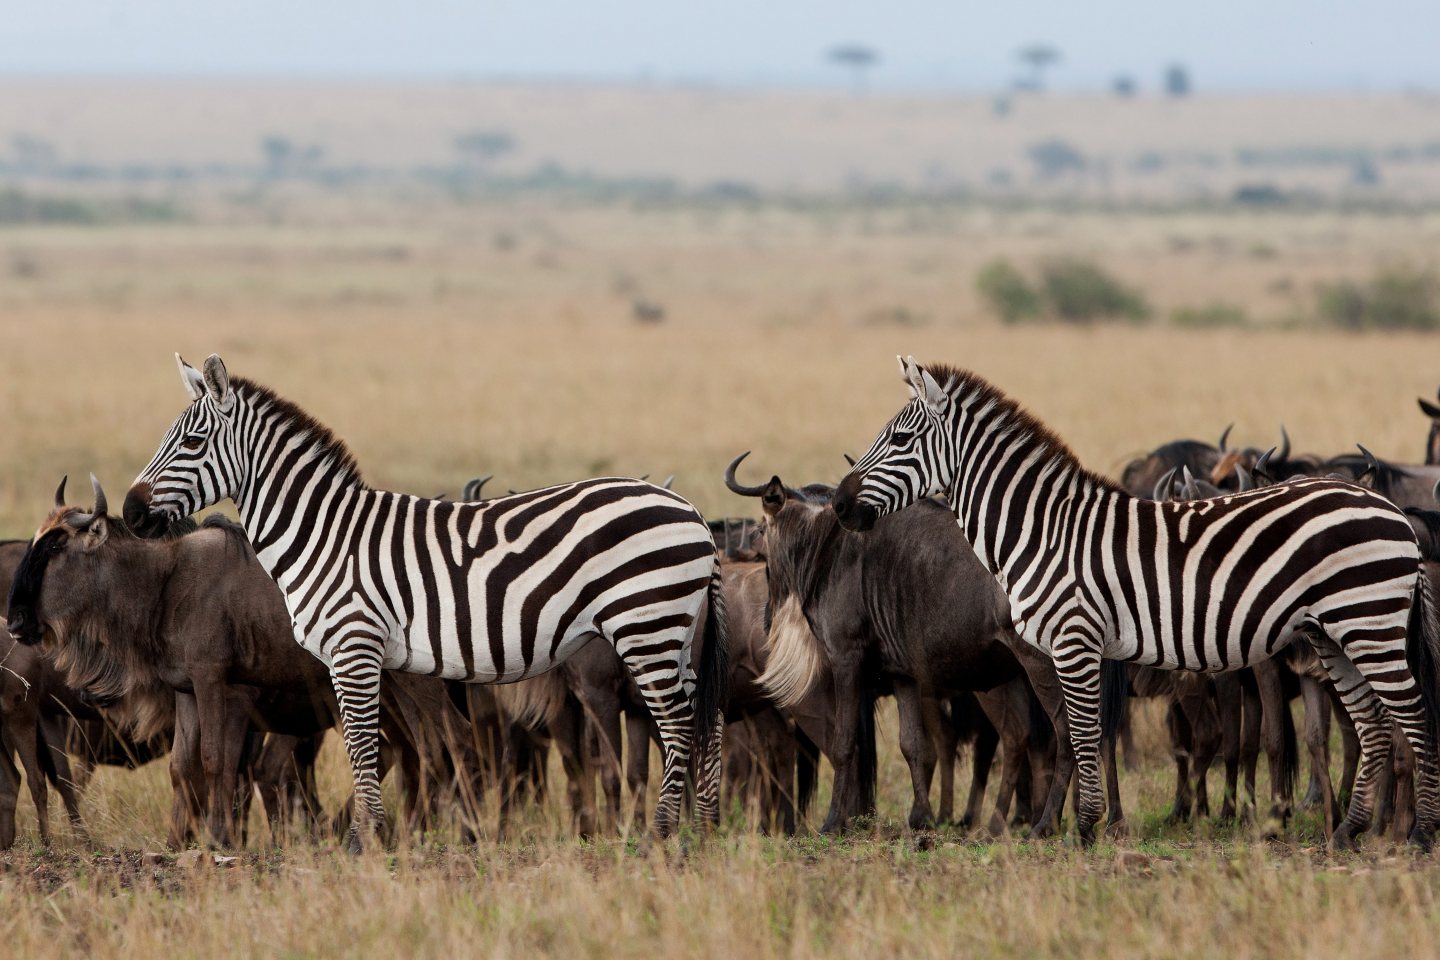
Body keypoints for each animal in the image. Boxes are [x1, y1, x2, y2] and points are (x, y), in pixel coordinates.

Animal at [123, 354, 728, 850]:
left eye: (192, 444)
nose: (130, 513)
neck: (325, 534)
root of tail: (693, 510)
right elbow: (373, 748)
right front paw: (370, 837)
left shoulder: (354, 647)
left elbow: (362, 745)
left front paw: (367, 841)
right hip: (674, 629)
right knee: (703, 715)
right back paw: (701, 830)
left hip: (645, 623)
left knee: (677, 721)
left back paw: (660, 835)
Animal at [831, 355, 1440, 849]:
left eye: (901, 441)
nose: (838, 503)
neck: (1045, 530)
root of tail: (1390, 508)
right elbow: (1087, 735)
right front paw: (1091, 826)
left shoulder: (1075, 639)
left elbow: (1080, 735)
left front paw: (1082, 831)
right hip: (1331, 632)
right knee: (1373, 725)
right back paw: (1347, 833)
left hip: (1369, 623)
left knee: (1414, 716)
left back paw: (1420, 836)